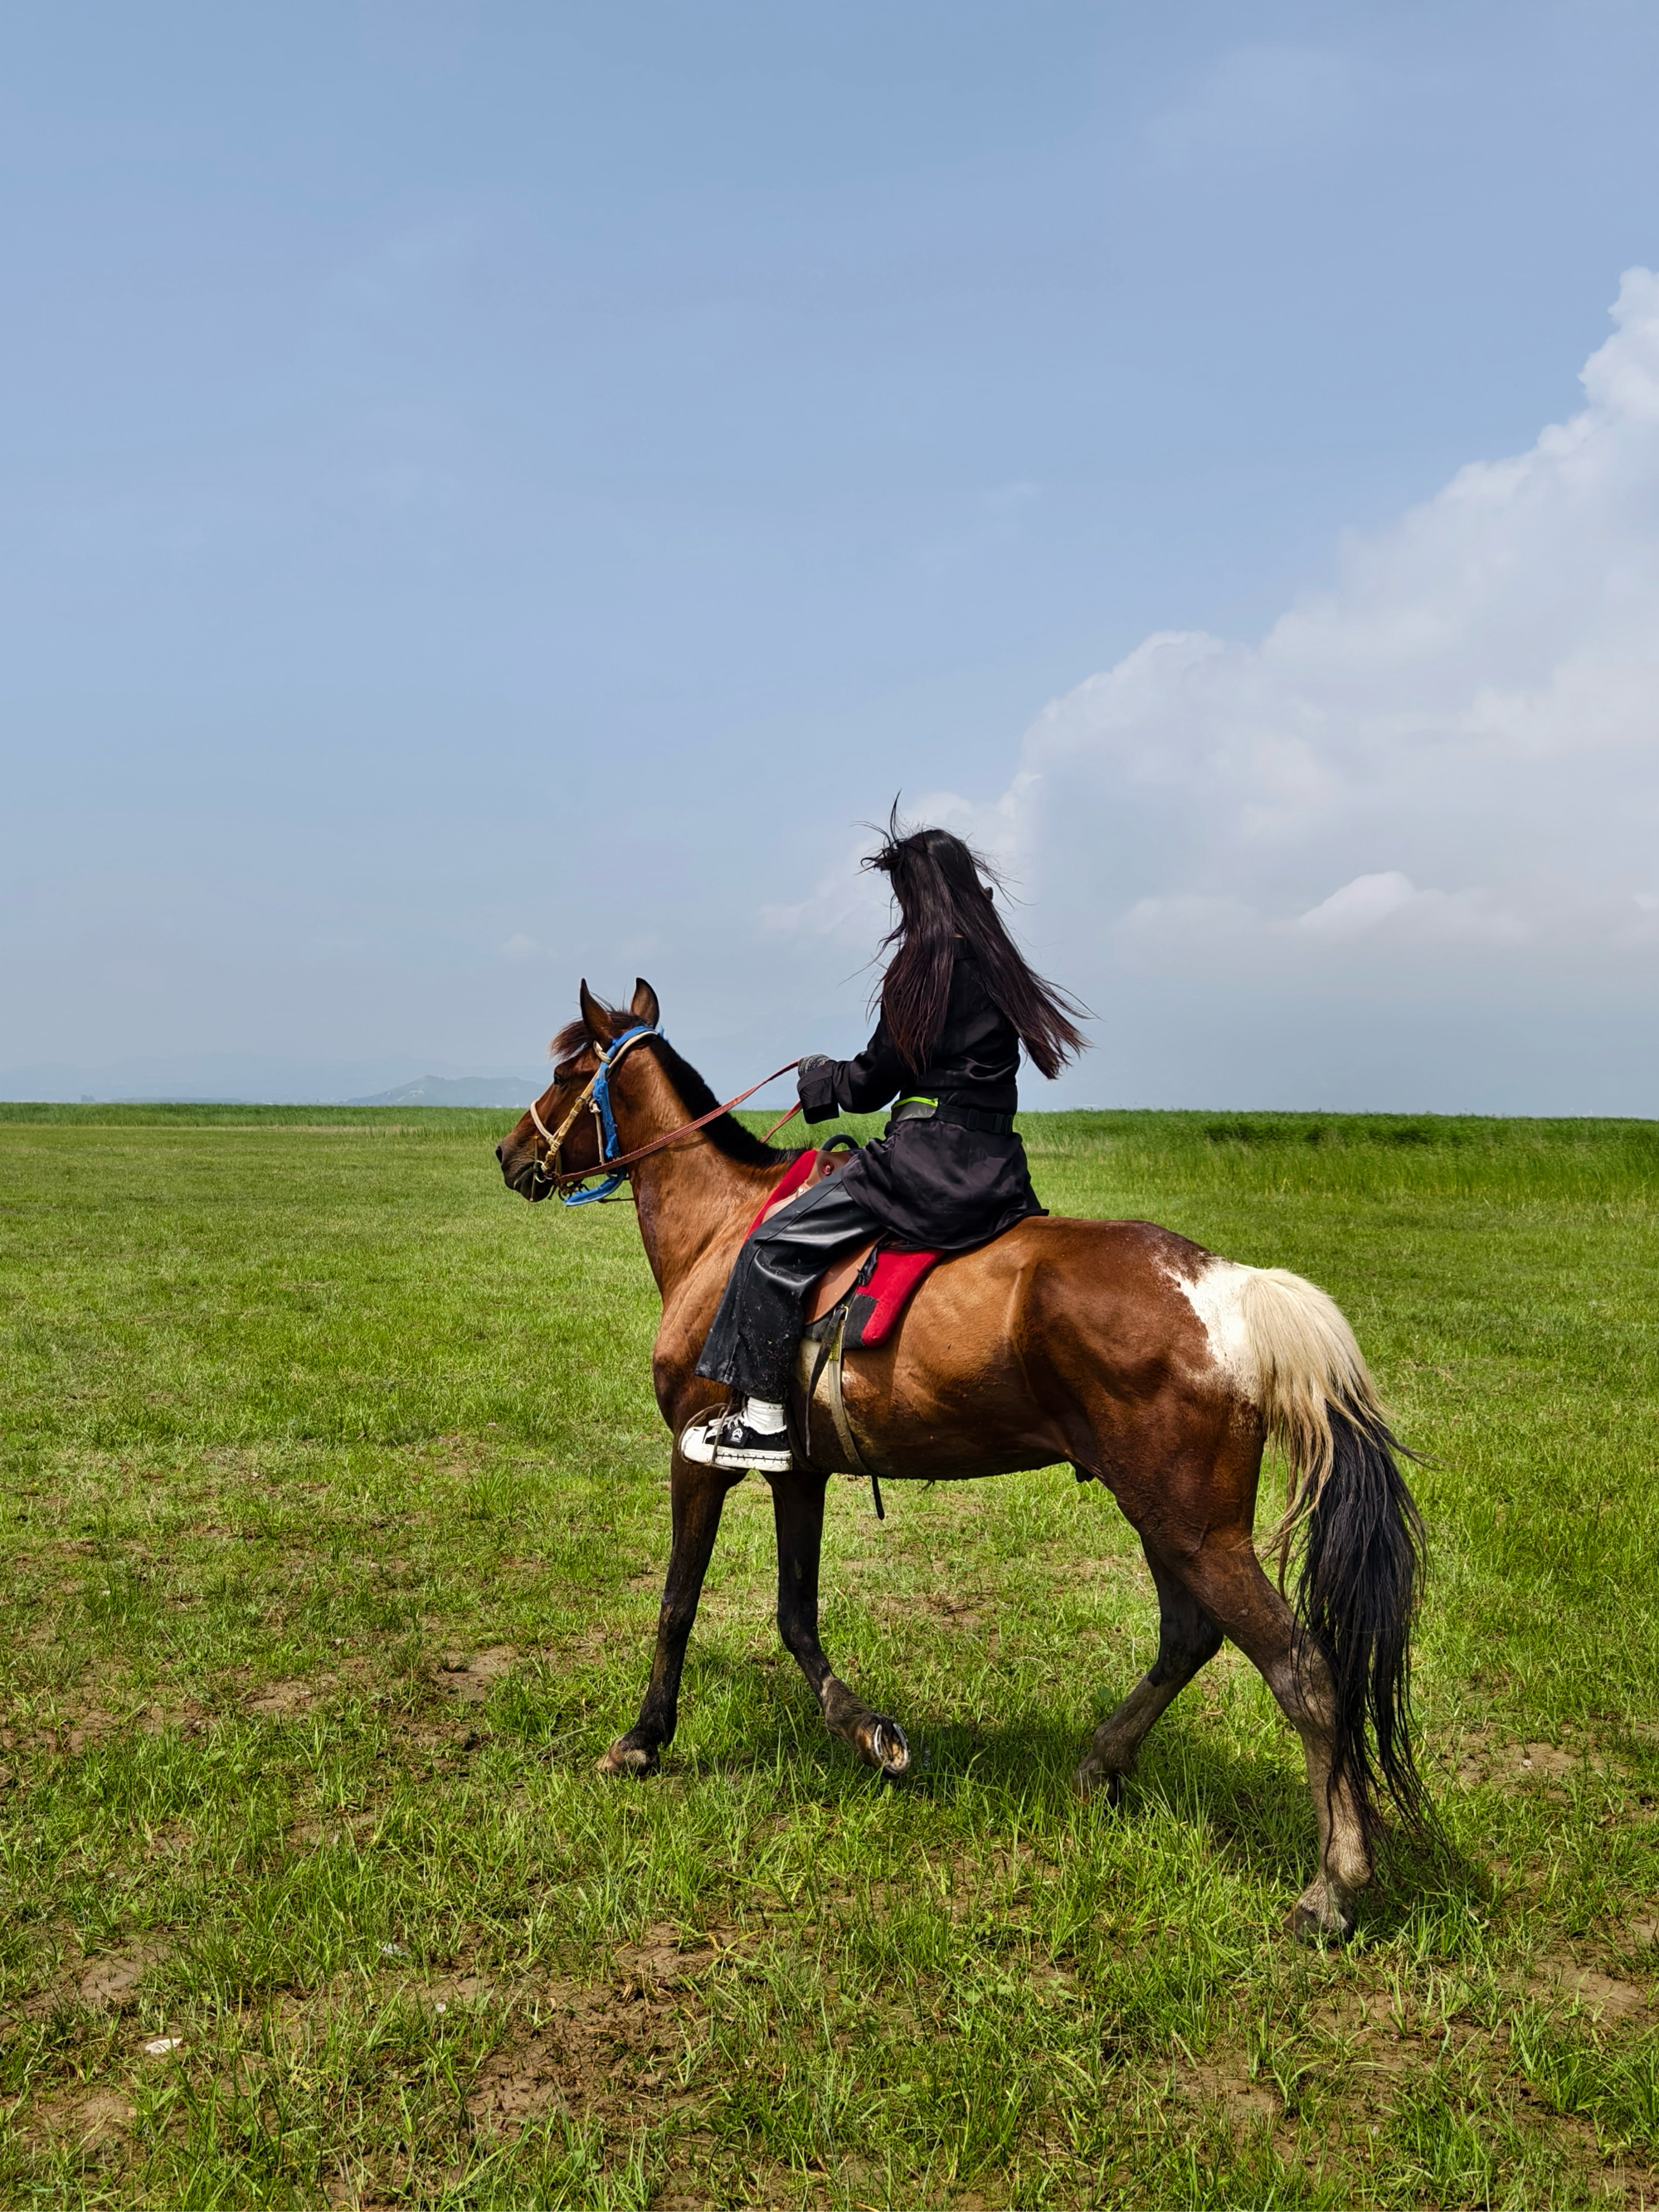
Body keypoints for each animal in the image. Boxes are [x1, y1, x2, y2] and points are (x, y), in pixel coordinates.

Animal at [493, 982, 1433, 1937]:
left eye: (566, 1073)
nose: (508, 1152)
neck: (721, 1232)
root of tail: (1232, 1289)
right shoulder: (799, 1471)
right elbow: (797, 1614)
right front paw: (868, 1732)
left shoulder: (701, 1455)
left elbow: (678, 1603)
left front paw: (643, 1741)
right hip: (1167, 1518)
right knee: (1190, 1636)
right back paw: (1101, 1765)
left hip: (1194, 1527)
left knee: (1301, 1670)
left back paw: (1331, 1884)